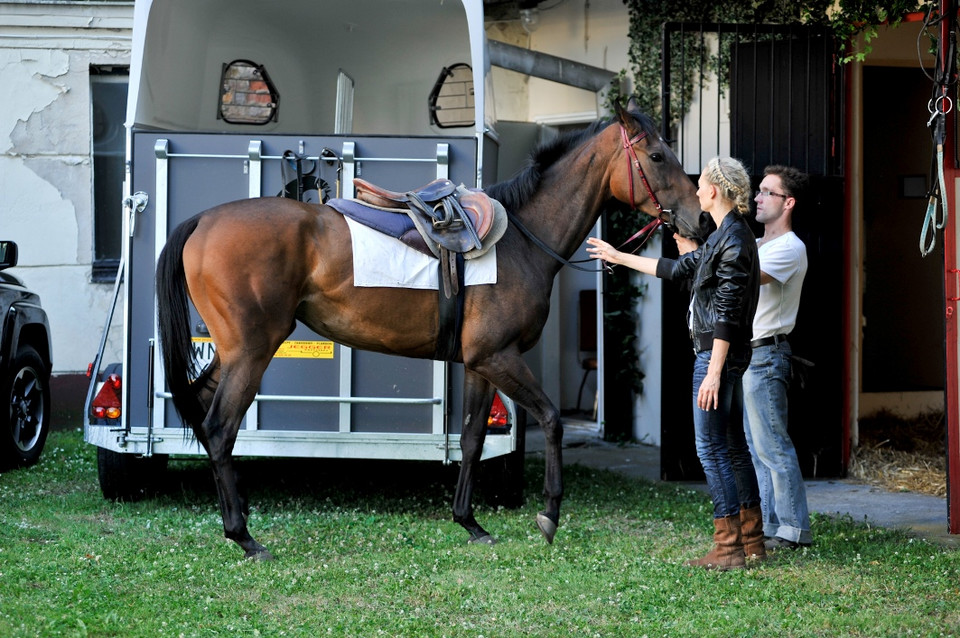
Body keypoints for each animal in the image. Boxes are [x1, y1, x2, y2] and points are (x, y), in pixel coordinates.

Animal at [156, 101, 696, 560]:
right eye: (656, 156)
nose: (697, 218)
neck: (521, 239)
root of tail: (203, 220)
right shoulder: (501, 358)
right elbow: (550, 419)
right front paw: (549, 513)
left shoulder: (481, 363)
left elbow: (473, 437)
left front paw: (469, 522)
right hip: (251, 351)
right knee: (221, 427)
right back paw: (244, 536)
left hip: (231, 353)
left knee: (203, 414)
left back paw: (238, 516)